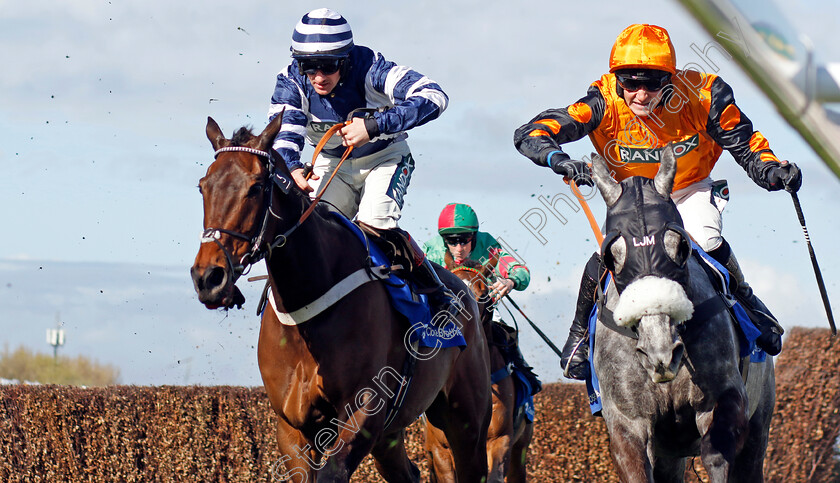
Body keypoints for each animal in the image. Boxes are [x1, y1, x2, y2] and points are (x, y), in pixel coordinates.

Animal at [190, 115, 492, 482]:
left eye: (256, 187)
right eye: (203, 186)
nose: (209, 277)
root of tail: (467, 293)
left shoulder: (363, 412)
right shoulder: (292, 427)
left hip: (467, 424)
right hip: (391, 435)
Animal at [592, 146, 776, 482]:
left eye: (679, 246)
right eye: (613, 256)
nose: (660, 355)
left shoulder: (724, 398)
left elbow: (716, 455)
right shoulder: (627, 422)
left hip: (760, 424)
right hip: (668, 455)